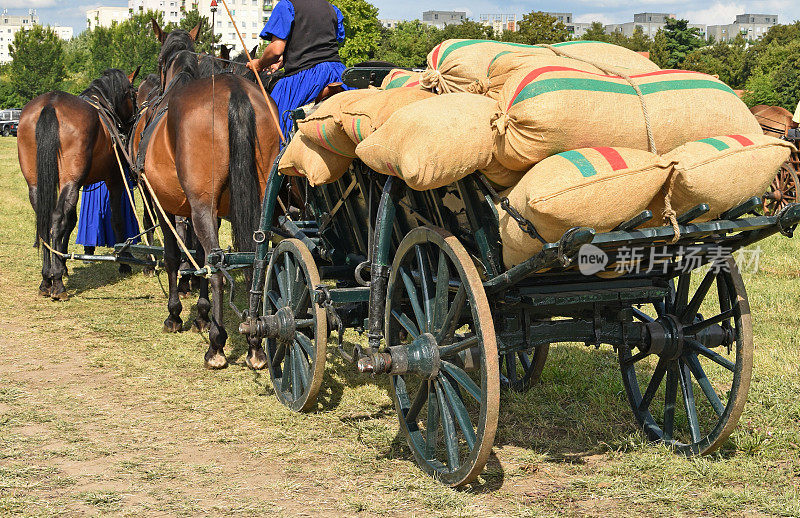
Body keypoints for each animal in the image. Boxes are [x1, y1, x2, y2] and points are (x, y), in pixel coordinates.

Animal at [18, 69, 141, 304]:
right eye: (133, 94)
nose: (133, 120)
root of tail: (51, 103)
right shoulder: (114, 181)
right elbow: (116, 220)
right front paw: (123, 261)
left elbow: (71, 221)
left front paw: (63, 263)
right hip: (72, 183)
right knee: (56, 221)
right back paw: (56, 283)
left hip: (37, 185)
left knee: (45, 221)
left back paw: (46, 279)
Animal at [141, 20, 282, 370]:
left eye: (159, 61)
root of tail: (235, 91)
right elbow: (197, 256)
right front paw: (202, 315)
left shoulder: (168, 206)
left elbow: (177, 256)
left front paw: (177, 315)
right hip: (260, 200)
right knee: (253, 263)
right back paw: (255, 342)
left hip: (201, 205)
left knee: (218, 266)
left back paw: (217, 345)